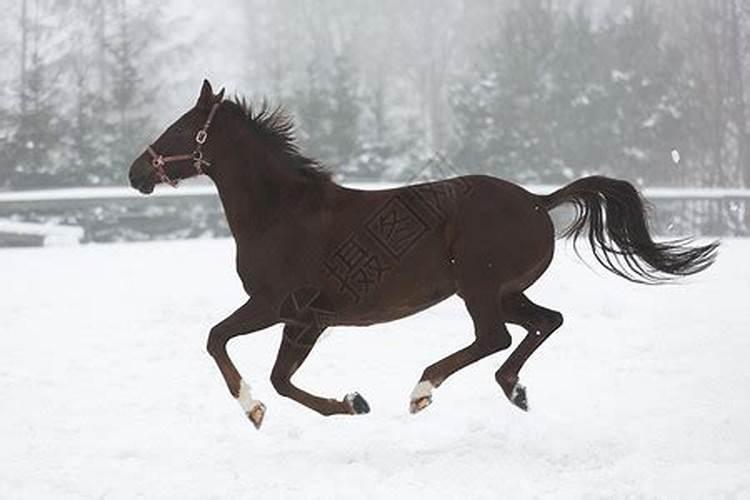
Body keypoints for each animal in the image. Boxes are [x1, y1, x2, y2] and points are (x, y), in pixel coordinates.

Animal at [131, 80, 724, 428]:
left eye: (181, 128)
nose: (137, 172)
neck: (282, 212)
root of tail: (538, 201)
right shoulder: (308, 319)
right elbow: (281, 378)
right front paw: (352, 403)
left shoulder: (277, 305)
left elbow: (219, 341)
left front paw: (254, 409)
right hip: (506, 291)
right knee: (544, 321)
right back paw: (514, 391)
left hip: (479, 287)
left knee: (494, 337)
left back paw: (423, 389)